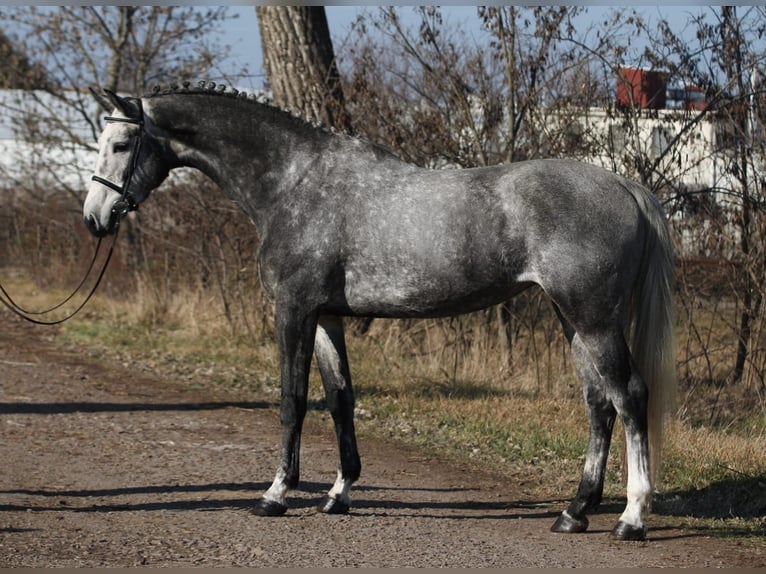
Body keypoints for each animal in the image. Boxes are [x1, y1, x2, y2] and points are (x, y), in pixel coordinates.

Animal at [82, 83, 680, 544]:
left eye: (120, 143)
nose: (95, 218)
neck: (293, 181)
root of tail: (624, 186)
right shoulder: (326, 315)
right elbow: (339, 398)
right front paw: (339, 493)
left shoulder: (293, 310)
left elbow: (292, 400)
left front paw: (276, 494)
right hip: (570, 318)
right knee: (599, 404)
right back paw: (574, 512)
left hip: (594, 319)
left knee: (630, 396)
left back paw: (631, 518)